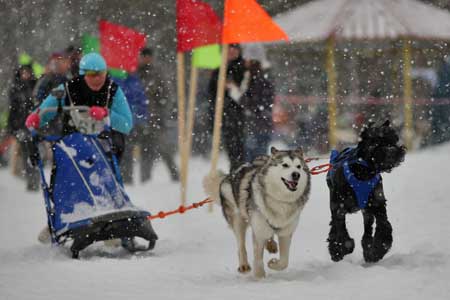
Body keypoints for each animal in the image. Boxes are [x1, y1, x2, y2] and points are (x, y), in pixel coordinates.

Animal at [203, 146, 310, 278]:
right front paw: (260, 276)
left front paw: (273, 263)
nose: (296, 174)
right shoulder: (258, 231)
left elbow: (284, 261)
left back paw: (271, 245)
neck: (281, 200)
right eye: (285, 165)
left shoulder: (286, 232)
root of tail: (230, 175)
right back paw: (244, 265)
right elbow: (258, 257)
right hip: (238, 220)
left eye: (299, 166)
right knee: (241, 245)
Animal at [326, 120, 406, 264]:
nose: (393, 151)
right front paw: (341, 248)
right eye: (376, 142)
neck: (364, 171)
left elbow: (384, 226)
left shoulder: (377, 203)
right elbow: (339, 229)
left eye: (393, 140)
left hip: (366, 211)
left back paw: (368, 251)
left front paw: (378, 250)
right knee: (337, 226)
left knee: (367, 232)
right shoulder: (338, 207)